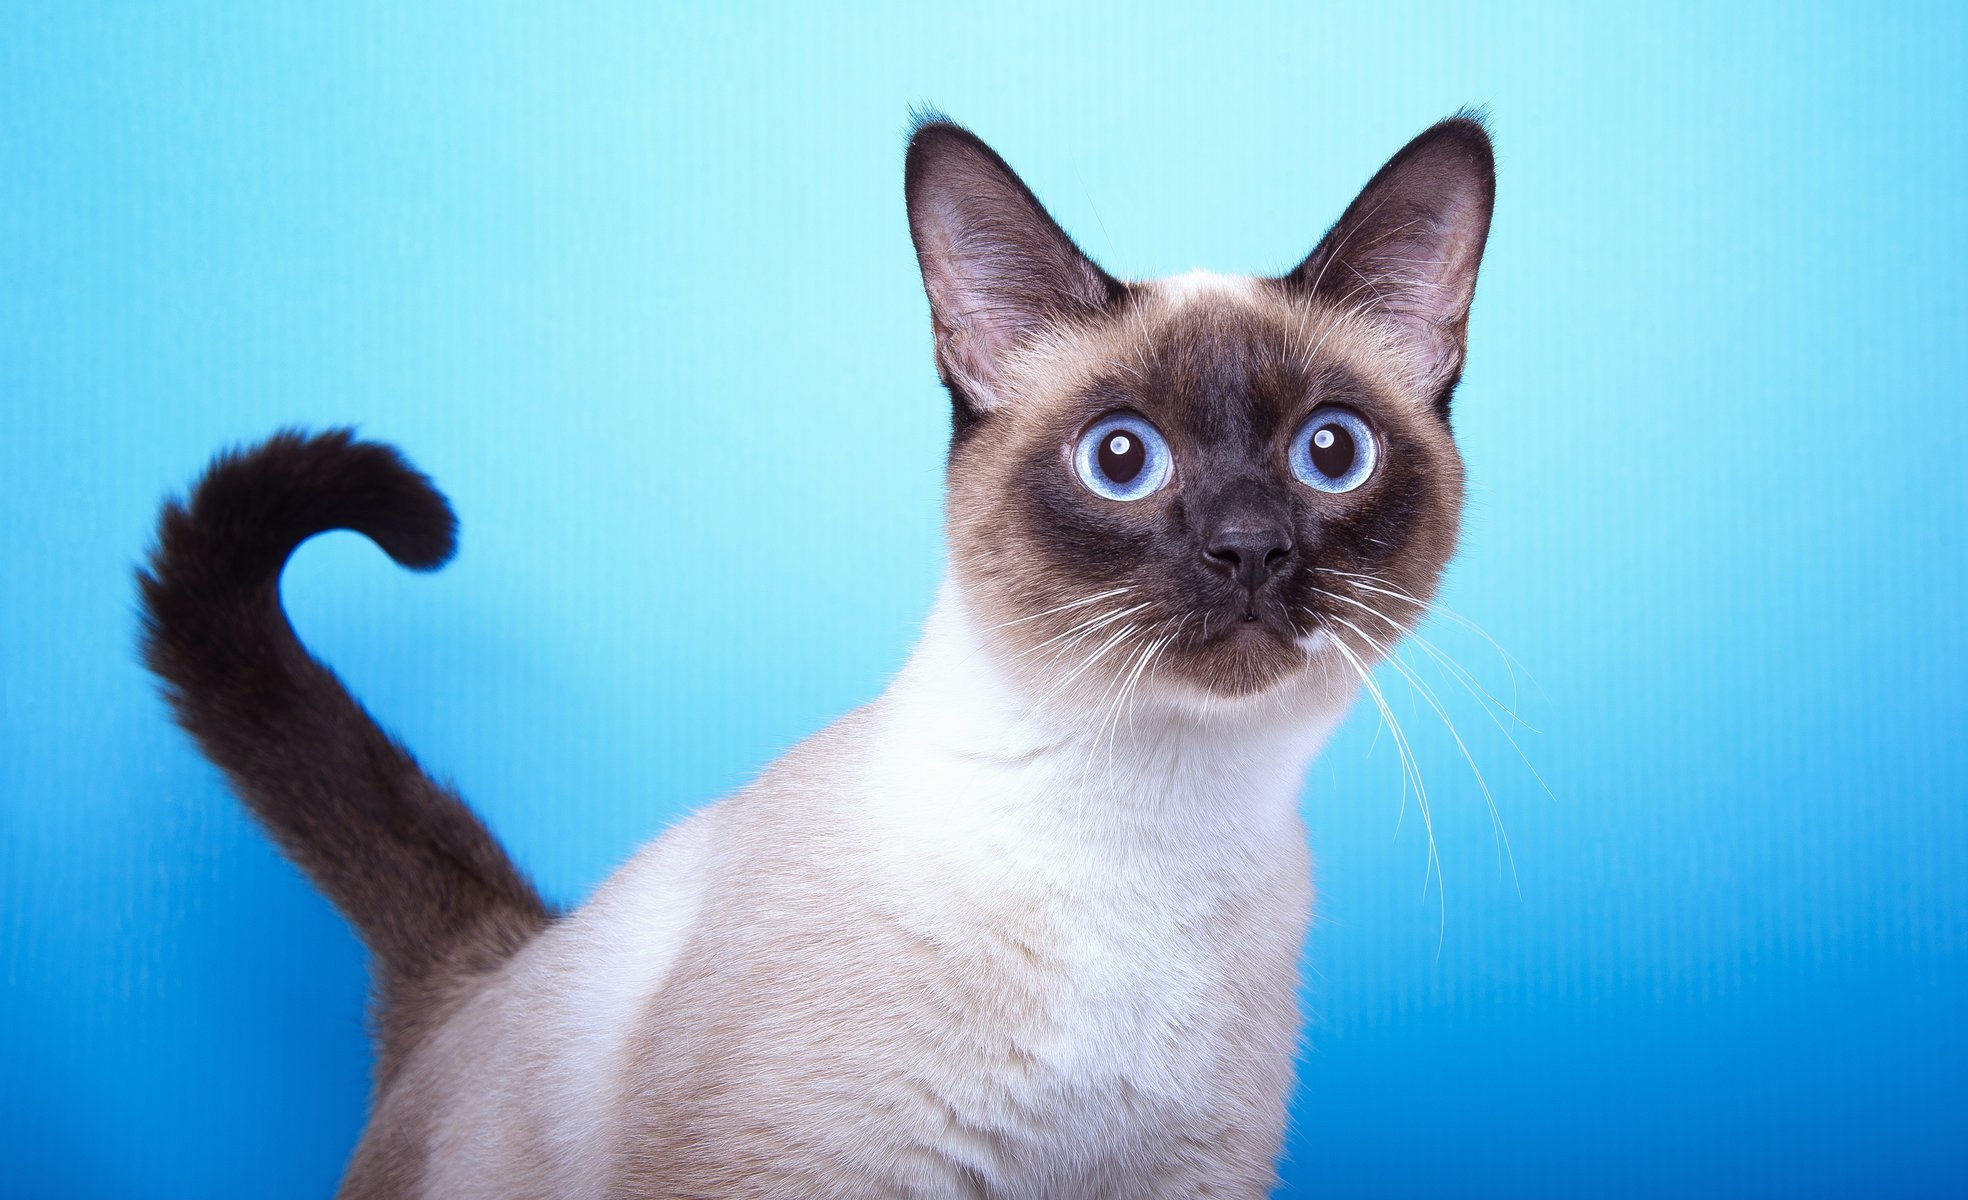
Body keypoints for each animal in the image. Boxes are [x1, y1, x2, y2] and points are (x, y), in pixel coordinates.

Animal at [138, 114, 1487, 1196]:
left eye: (1330, 452)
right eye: (1122, 459)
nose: (1249, 549)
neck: (1156, 828)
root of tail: (493, 965)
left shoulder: (1189, 1183)